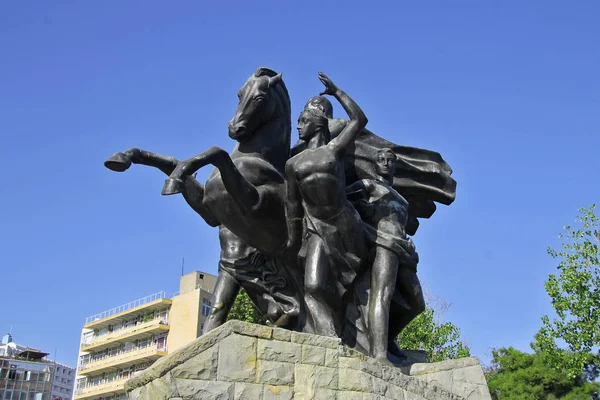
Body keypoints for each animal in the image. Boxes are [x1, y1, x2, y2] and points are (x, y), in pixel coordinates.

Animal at [105, 68, 302, 332]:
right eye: (239, 93)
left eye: (260, 98)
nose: (234, 128)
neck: (259, 159)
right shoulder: (210, 211)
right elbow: (172, 161)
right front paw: (124, 157)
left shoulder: (253, 205)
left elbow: (216, 151)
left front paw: (174, 179)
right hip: (234, 272)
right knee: (222, 311)